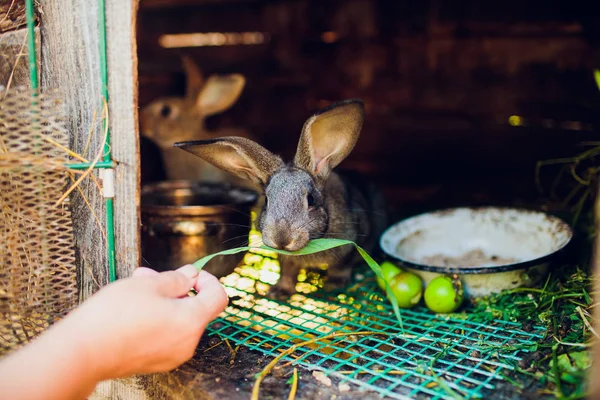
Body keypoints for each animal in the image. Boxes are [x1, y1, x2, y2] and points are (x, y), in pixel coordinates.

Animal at [173, 99, 390, 296]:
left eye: (311, 199)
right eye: (267, 201)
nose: (281, 240)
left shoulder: (351, 245)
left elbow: (341, 267)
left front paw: (333, 284)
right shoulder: (286, 260)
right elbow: (287, 272)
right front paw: (278, 292)